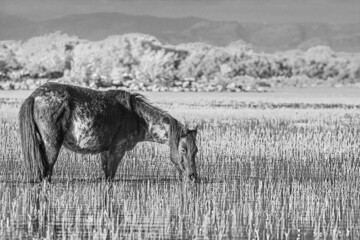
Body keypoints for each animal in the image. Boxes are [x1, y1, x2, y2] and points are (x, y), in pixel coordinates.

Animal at [18, 82, 198, 182]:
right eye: (183, 149)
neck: (136, 116)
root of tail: (35, 95)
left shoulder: (105, 152)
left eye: (196, 150)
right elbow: (110, 175)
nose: (193, 176)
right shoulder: (117, 150)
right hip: (51, 146)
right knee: (46, 173)